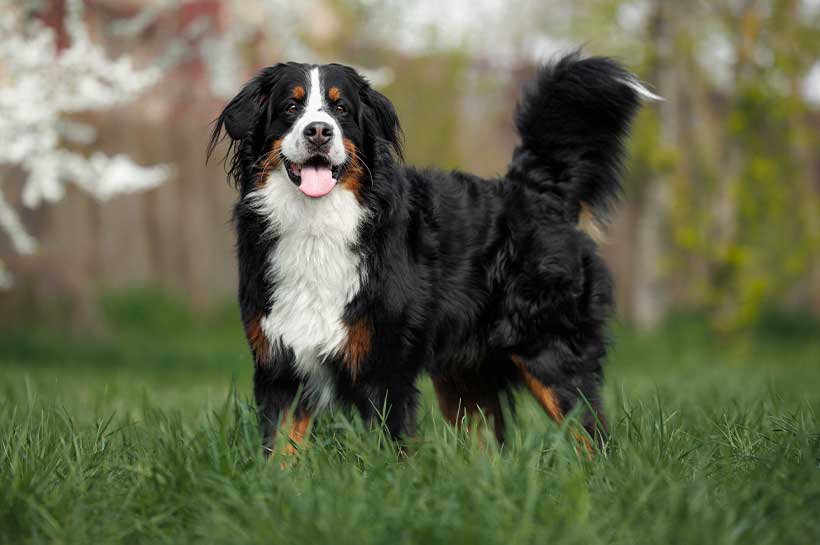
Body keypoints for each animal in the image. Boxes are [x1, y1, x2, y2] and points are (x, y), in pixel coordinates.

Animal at [208, 51, 656, 452]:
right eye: (291, 106)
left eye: (341, 109)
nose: (319, 131)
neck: (317, 227)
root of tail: (535, 190)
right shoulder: (281, 366)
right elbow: (277, 454)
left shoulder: (385, 370)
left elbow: (390, 455)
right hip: (465, 376)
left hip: (550, 355)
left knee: (592, 438)